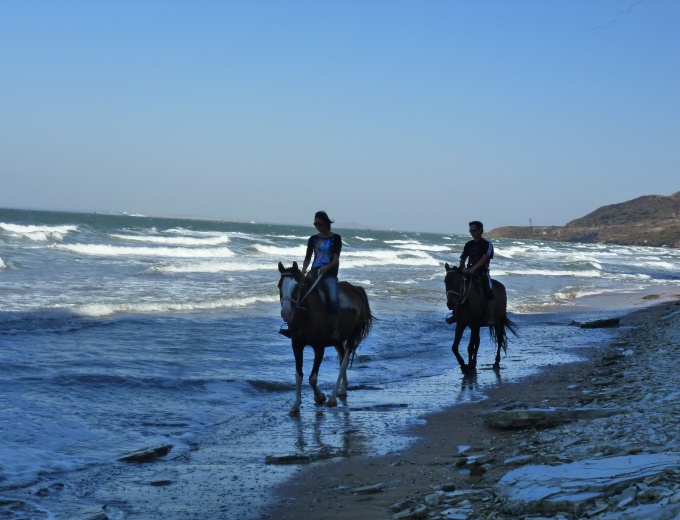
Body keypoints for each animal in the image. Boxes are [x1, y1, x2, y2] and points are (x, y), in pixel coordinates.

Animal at [278, 262, 374, 416]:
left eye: (297, 287)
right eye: (279, 285)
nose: (286, 313)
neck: (306, 314)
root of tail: (357, 290)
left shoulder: (319, 347)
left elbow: (312, 378)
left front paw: (320, 397)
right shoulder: (297, 345)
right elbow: (299, 375)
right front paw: (296, 405)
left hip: (352, 336)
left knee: (344, 362)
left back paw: (333, 397)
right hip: (338, 340)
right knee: (342, 357)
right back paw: (343, 390)